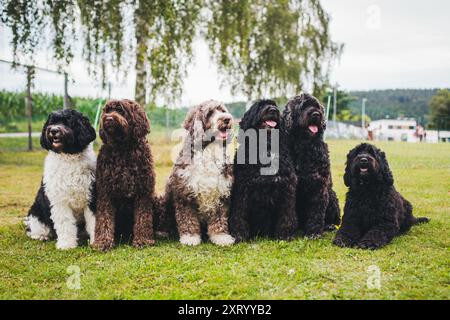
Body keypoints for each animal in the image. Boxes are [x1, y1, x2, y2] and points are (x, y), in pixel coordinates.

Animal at [25, 110, 96, 250]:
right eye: (52, 122)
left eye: (67, 122)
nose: (53, 130)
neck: (69, 158)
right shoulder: (60, 201)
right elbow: (65, 223)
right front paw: (66, 244)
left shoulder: (91, 197)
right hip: (37, 213)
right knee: (36, 227)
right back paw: (41, 236)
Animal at [163, 100, 237, 245]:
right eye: (210, 113)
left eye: (222, 110)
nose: (227, 119)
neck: (208, 149)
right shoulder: (184, 193)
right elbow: (187, 218)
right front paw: (190, 238)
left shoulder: (222, 193)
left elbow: (219, 218)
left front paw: (221, 237)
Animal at [229, 99, 298, 241]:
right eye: (260, 106)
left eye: (275, 105)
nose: (273, 110)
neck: (266, 147)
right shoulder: (243, 188)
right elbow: (239, 213)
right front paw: (239, 234)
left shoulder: (286, 187)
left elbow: (287, 215)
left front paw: (286, 234)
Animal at [284, 92, 340, 238]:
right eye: (303, 106)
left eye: (317, 106)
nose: (316, 114)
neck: (304, 146)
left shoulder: (318, 185)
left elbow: (316, 211)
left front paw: (314, 232)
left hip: (332, 196)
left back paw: (328, 226)